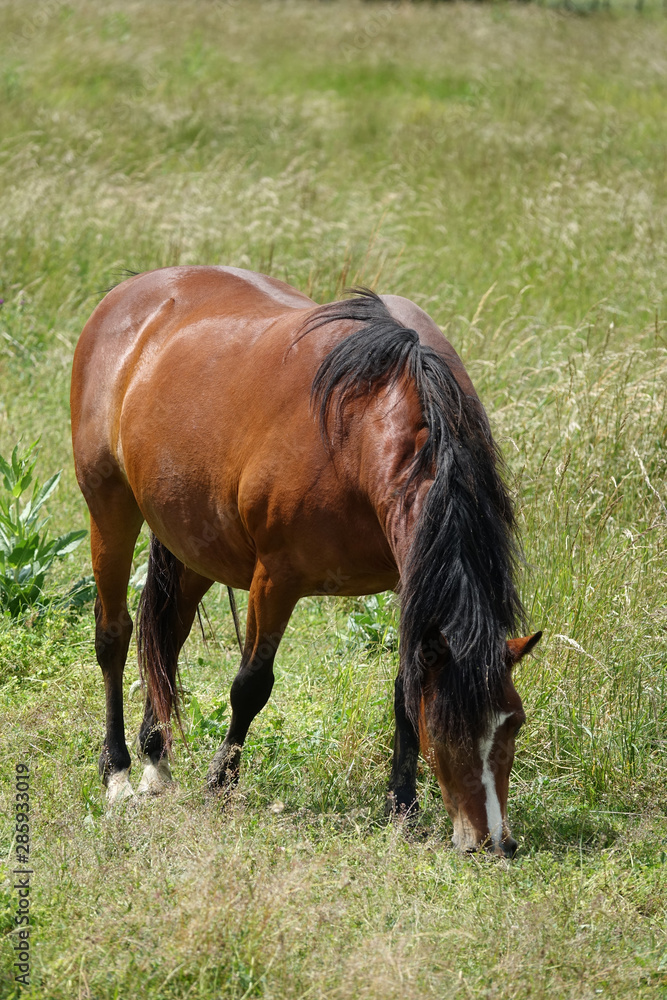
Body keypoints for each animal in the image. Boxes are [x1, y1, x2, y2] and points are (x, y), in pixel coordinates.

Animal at [71, 265, 541, 857]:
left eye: (513, 723)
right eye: (447, 728)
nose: (492, 842)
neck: (363, 427)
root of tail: (132, 292)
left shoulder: (407, 581)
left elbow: (402, 689)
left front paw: (402, 806)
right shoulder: (276, 578)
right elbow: (251, 685)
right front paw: (220, 787)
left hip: (192, 539)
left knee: (167, 636)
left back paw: (157, 762)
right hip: (109, 506)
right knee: (113, 635)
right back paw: (118, 773)